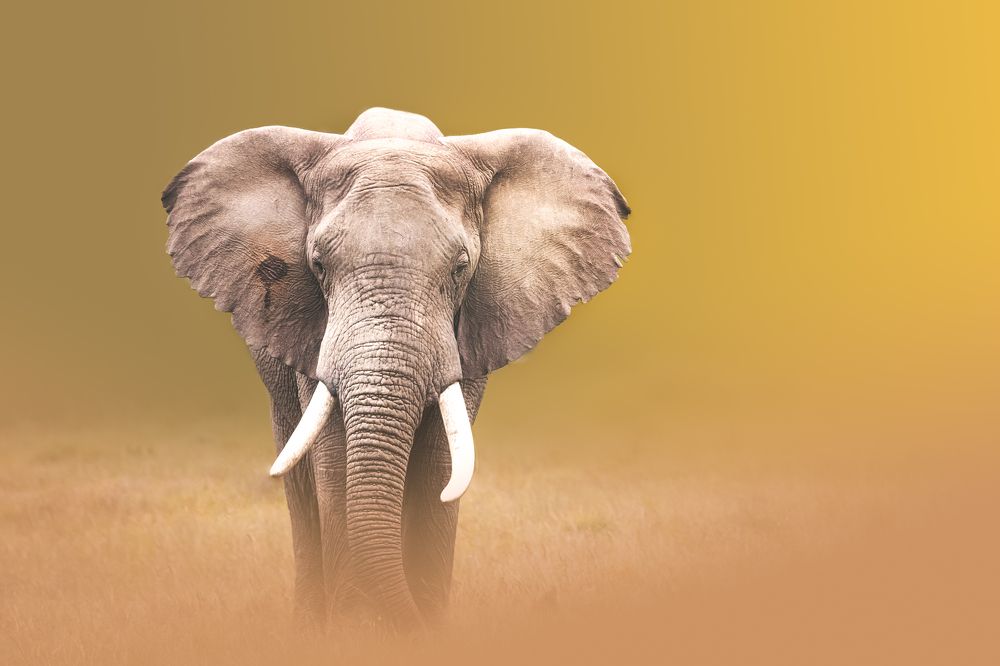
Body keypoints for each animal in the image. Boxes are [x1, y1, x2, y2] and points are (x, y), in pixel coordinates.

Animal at [160, 107, 631, 629]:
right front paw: (357, 629)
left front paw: (421, 622)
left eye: (461, 268)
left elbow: (440, 461)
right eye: (317, 265)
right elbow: (333, 459)